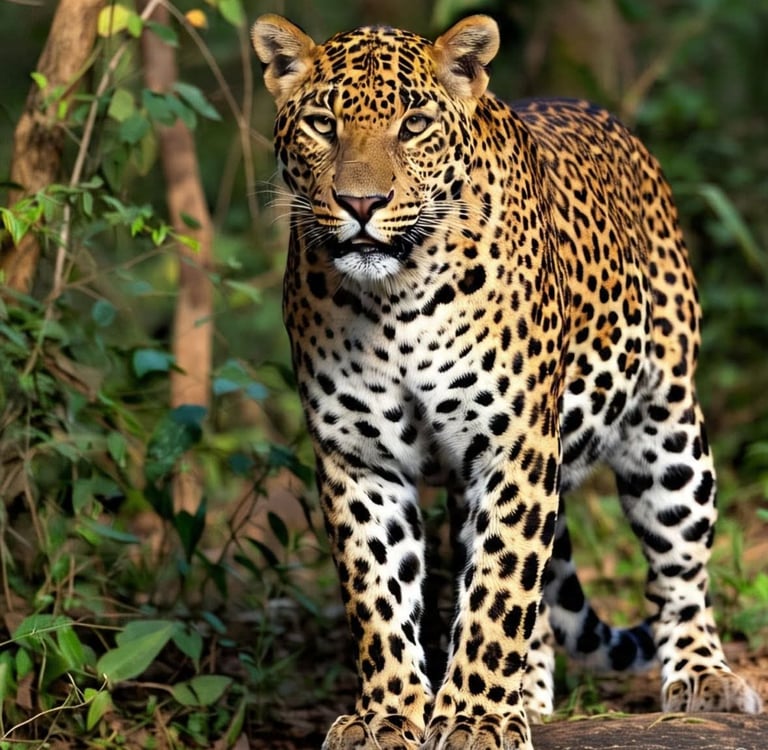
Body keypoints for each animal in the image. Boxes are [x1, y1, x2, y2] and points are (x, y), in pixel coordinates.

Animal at [251, 13, 762, 750]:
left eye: (413, 124)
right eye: (322, 123)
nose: (361, 203)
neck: (395, 299)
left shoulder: (515, 443)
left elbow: (498, 591)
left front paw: (472, 717)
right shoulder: (358, 455)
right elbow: (379, 594)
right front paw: (388, 714)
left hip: (667, 428)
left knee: (680, 569)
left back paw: (702, 673)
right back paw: (527, 691)